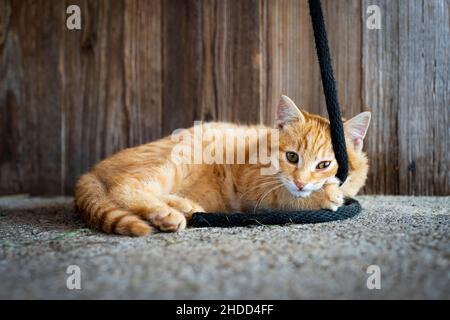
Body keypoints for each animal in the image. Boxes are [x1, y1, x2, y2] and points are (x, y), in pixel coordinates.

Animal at [73, 95, 370, 235]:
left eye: (324, 164)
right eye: (292, 157)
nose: (300, 182)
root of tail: (91, 172)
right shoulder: (254, 188)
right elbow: (284, 196)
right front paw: (321, 196)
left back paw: (183, 207)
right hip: (176, 159)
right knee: (125, 187)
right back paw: (165, 214)